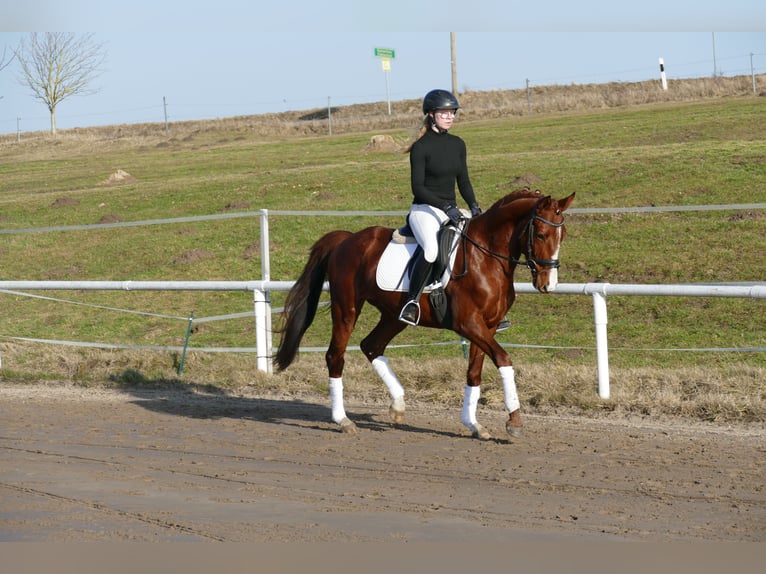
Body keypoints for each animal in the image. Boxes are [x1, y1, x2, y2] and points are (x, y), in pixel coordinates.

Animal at [274, 188, 575, 440]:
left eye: (562, 236)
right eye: (540, 235)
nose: (548, 284)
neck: (487, 257)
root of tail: (346, 240)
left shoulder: (486, 327)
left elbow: (474, 372)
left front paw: (473, 424)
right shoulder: (468, 324)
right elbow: (503, 359)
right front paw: (514, 421)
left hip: (394, 315)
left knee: (371, 346)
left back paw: (397, 405)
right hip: (346, 308)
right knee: (335, 355)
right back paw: (343, 420)